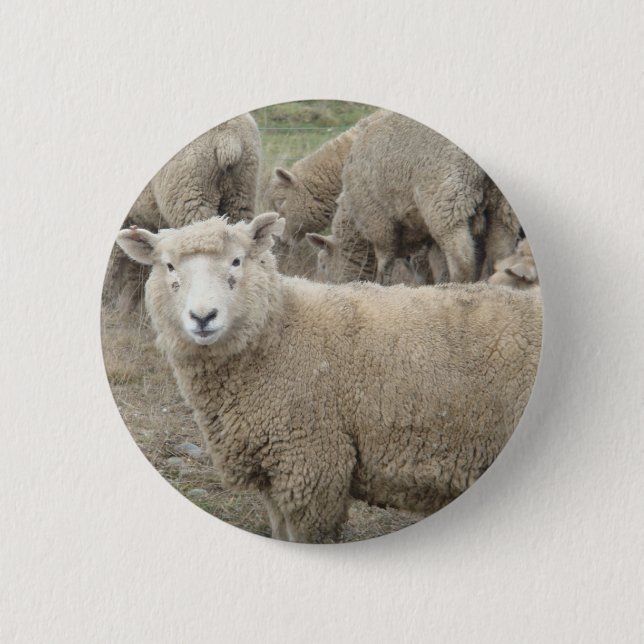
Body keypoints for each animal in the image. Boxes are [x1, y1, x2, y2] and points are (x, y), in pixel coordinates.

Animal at [116, 213, 543, 543]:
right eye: (169, 266)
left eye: (236, 261)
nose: (203, 317)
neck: (279, 332)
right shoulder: (274, 470)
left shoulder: (313, 464)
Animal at [339, 110, 521, 285]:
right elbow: (439, 264)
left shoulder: (378, 221)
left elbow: (385, 261)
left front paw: (382, 284)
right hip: (501, 208)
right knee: (501, 257)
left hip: (446, 204)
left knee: (462, 260)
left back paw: (457, 286)